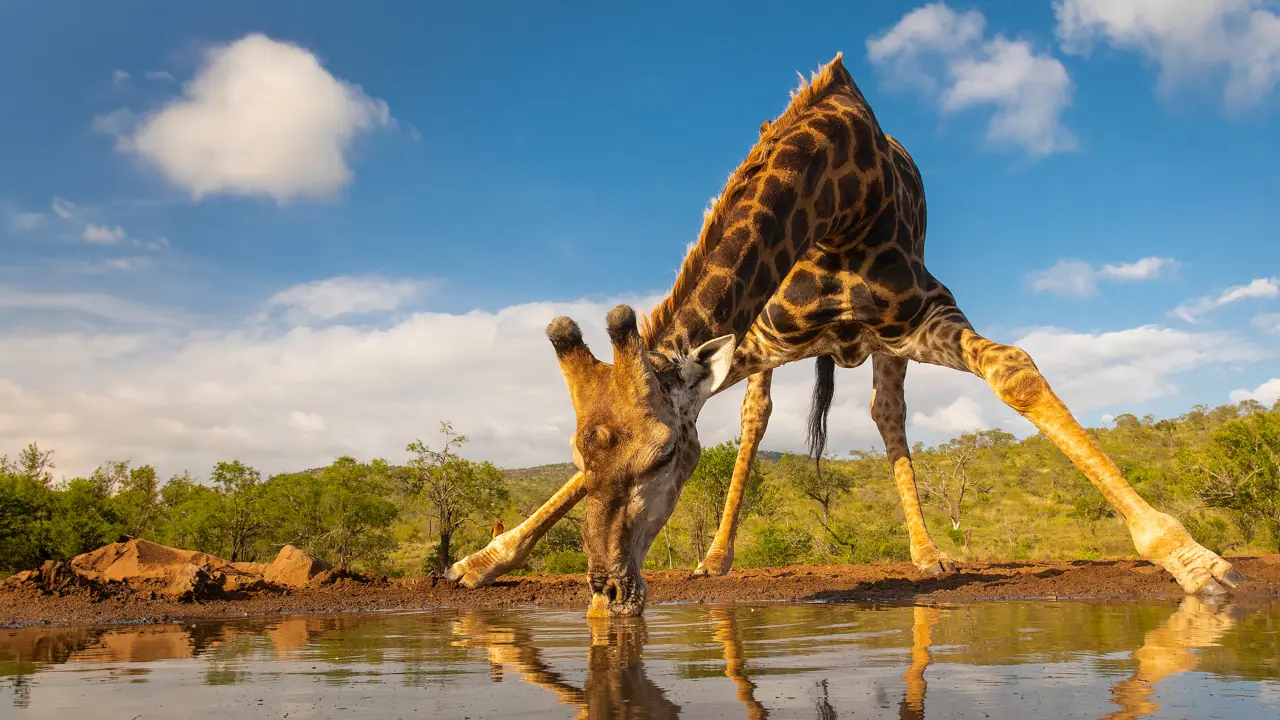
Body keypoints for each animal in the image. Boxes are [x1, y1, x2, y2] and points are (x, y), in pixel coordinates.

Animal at [450, 51, 1239, 617]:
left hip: (887, 346)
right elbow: (736, 419)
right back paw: (715, 557)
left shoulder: (925, 313)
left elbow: (1013, 369)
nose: (609, 589)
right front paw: (484, 560)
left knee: (888, 412)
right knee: (758, 417)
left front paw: (1191, 557)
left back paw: (927, 553)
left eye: (666, 455)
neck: (839, 201)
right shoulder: (756, 340)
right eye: (578, 456)